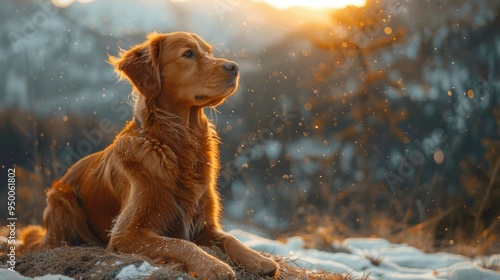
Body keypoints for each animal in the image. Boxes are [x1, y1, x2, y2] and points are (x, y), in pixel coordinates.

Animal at [21, 31, 280, 278]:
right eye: (188, 54)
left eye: (209, 52)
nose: (235, 67)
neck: (176, 145)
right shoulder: (125, 234)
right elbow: (179, 244)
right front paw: (213, 266)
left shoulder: (204, 224)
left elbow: (230, 237)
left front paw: (258, 259)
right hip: (62, 202)